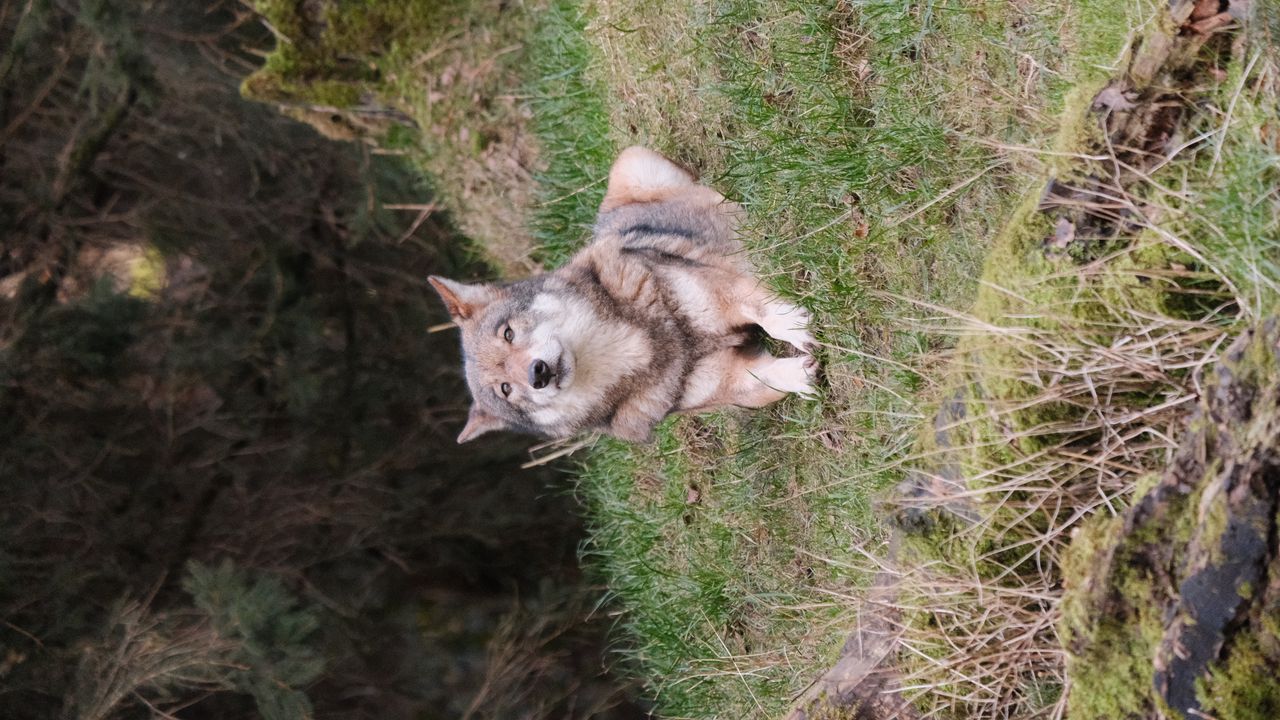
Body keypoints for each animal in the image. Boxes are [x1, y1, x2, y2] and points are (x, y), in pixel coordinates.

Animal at [429, 146, 817, 443]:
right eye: (506, 389)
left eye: (507, 333)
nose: (537, 374)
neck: (641, 348)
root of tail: (606, 212)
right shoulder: (731, 382)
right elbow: (767, 378)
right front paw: (799, 375)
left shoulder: (724, 292)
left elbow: (766, 314)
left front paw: (794, 326)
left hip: (632, 162)